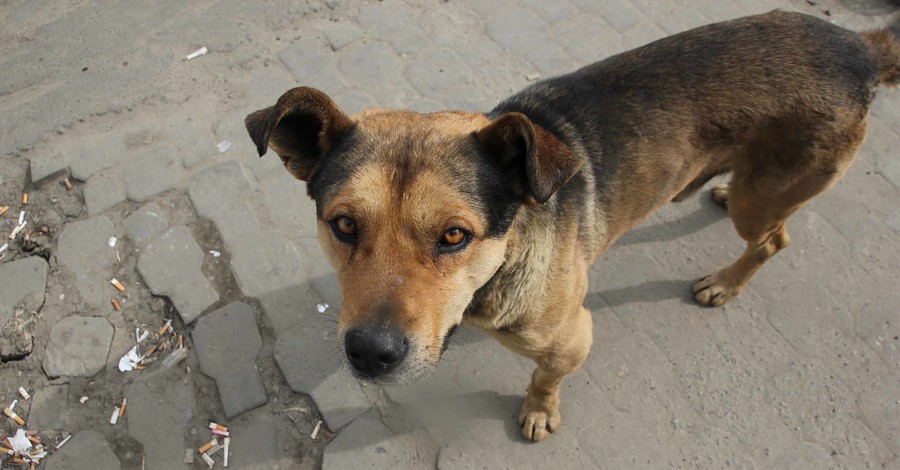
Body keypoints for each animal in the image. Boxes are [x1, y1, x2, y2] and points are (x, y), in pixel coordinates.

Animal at [246, 11, 900, 444]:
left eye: (455, 236)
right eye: (344, 224)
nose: (370, 355)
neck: (503, 260)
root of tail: (860, 44)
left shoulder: (573, 336)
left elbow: (544, 377)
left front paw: (539, 411)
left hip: (760, 200)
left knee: (774, 238)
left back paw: (726, 282)